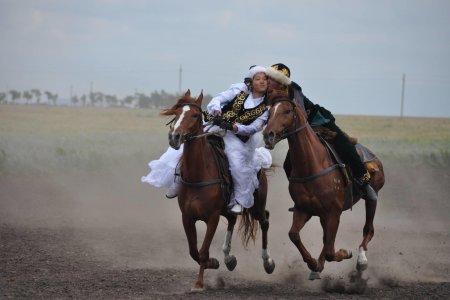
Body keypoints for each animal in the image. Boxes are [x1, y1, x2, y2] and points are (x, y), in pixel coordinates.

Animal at [162, 90, 274, 292]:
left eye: (195, 115)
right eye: (176, 113)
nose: (174, 137)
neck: (199, 176)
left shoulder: (212, 217)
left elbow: (203, 251)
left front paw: (199, 283)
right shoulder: (187, 217)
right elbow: (193, 251)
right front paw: (214, 263)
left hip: (257, 206)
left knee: (265, 220)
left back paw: (268, 262)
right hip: (228, 209)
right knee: (232, 219)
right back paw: (229, 259)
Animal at [262, 95, 384, 280]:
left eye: (287, 111)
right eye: (269, 112)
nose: (268, 135)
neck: (312, 164)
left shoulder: (333, 213)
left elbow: (330, 251)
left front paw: (345, 253)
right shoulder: (304, 210)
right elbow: (294, 235)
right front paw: (313, 263)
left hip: (372, 197)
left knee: (368, 229)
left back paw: (361, 260)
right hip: (321, 215)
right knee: (326, 239)